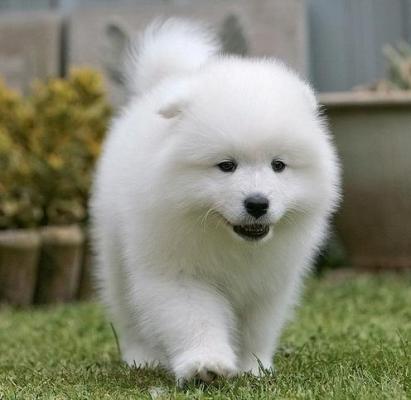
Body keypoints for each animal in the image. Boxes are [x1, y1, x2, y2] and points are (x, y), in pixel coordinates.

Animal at [91, 19, 342, 384]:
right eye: (226, 166)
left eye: (278, 165)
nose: (257, 203)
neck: (230, 240)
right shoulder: (179, 274)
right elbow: (195, 319)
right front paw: (204, 365)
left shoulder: (269, 282)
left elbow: (256, 328)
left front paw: (253, 367)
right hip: (115, 255)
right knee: (127, 310)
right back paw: (142, 357)